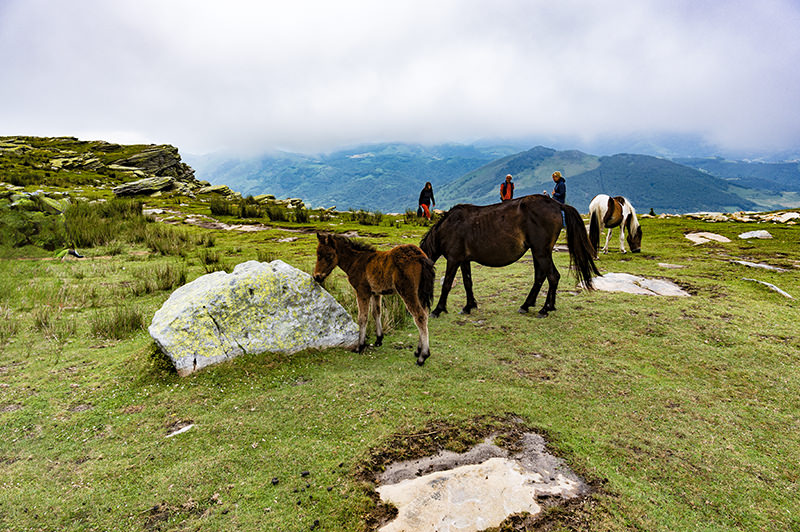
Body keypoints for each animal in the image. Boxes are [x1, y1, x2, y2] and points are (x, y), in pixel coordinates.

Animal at [313, 233, 436, 366]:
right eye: (317, 254)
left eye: (329, 255)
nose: (317, 276)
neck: (356, 261)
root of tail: (420, 256)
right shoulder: (375, 293)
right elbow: (376, 313)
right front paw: (378, 339)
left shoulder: (362, 291)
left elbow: (362, 317)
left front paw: (360, 346)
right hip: (420, 293)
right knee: (424, 314)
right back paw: (418, 350)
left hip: (408, 291)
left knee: (419, 316)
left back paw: (423, 356)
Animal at [419, 194, 599, 318]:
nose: (420, 305)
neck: (449, 227)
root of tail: (556, 203)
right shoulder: (463, 260)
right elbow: (467, 282)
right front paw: (469, 306)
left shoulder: (453, 259)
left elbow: (447, 284)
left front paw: (438, 310)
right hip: (538, 252)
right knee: (540, 277)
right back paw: (527, 305)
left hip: (541, 252)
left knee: (553, 276)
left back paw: (545, 308)